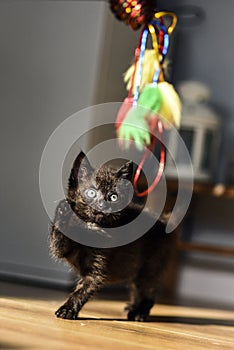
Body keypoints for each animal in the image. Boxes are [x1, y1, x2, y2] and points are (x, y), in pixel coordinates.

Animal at [50, 150, 176, 320]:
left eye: (113, 197)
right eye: (91, 192)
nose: (102, 204)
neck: (88, 229)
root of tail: (164, 219)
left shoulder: (97, 268)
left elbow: (83, 289)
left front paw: (68, 309)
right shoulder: (62, 249)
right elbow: (58, 242)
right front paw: (64, 211)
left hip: (151, 265)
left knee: (148, 291)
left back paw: (139, 313)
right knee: (137, 287)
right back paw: (133, 306)